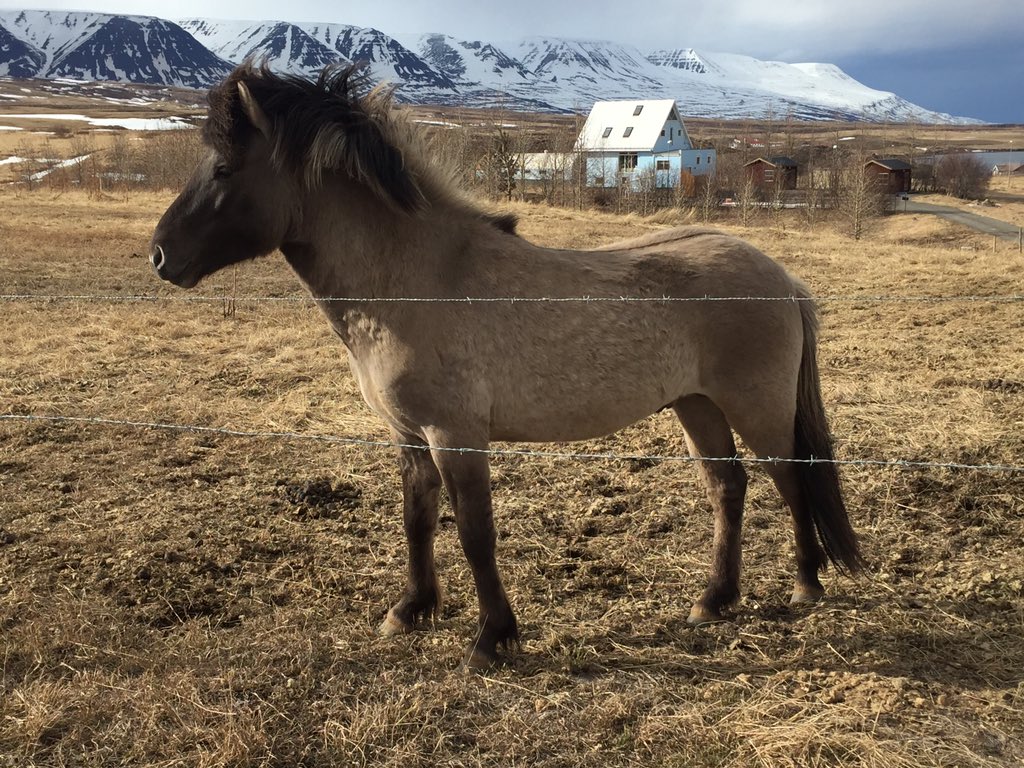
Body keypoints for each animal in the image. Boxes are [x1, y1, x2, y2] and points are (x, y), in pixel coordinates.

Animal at [150, 63, 864, 668]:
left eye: (222, 168)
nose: (160, 256)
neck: (419, 279)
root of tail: (780, 277)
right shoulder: (409, 435)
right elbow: (417, 519)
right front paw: (410, 611)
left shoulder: (457, 435)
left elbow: (474, 532)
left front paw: (492, 637)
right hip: (698, 406)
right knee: (728, 487)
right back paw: (715, 600)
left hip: (755, 406)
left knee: (789, 478)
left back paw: (806, 586)